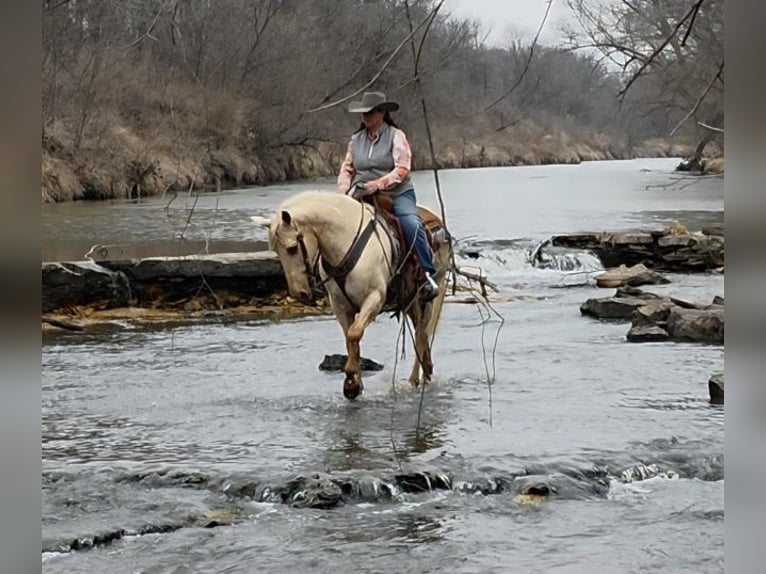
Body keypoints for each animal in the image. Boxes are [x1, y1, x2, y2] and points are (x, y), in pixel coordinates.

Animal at [268, 192, 452, 400]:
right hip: (410, 300)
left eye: (292, 248)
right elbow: (350, 341)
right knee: (421, 331)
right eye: (276, 250)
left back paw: (415, 380)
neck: (345, 243)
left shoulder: (374, 299)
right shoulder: (340, 306)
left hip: (430, 292)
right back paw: (426, 370)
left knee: (422, 332)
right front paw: (355, 383)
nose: (298, 293)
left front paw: (350, 382)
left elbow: (354, 334)